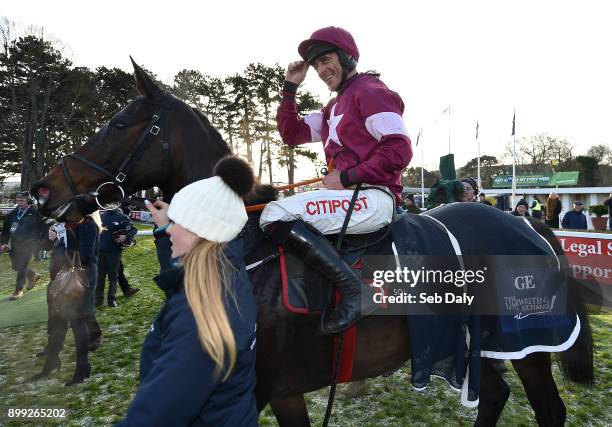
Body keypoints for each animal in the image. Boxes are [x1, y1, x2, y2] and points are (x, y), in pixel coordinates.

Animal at [29, 61, 592, 427]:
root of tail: (526, 226)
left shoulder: (257, 386)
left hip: (528, 345)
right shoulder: (284, 391)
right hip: (476, 342)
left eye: (118, 123)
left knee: (549, 410)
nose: (42, 191)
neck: (241, 245)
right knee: (494, 395)